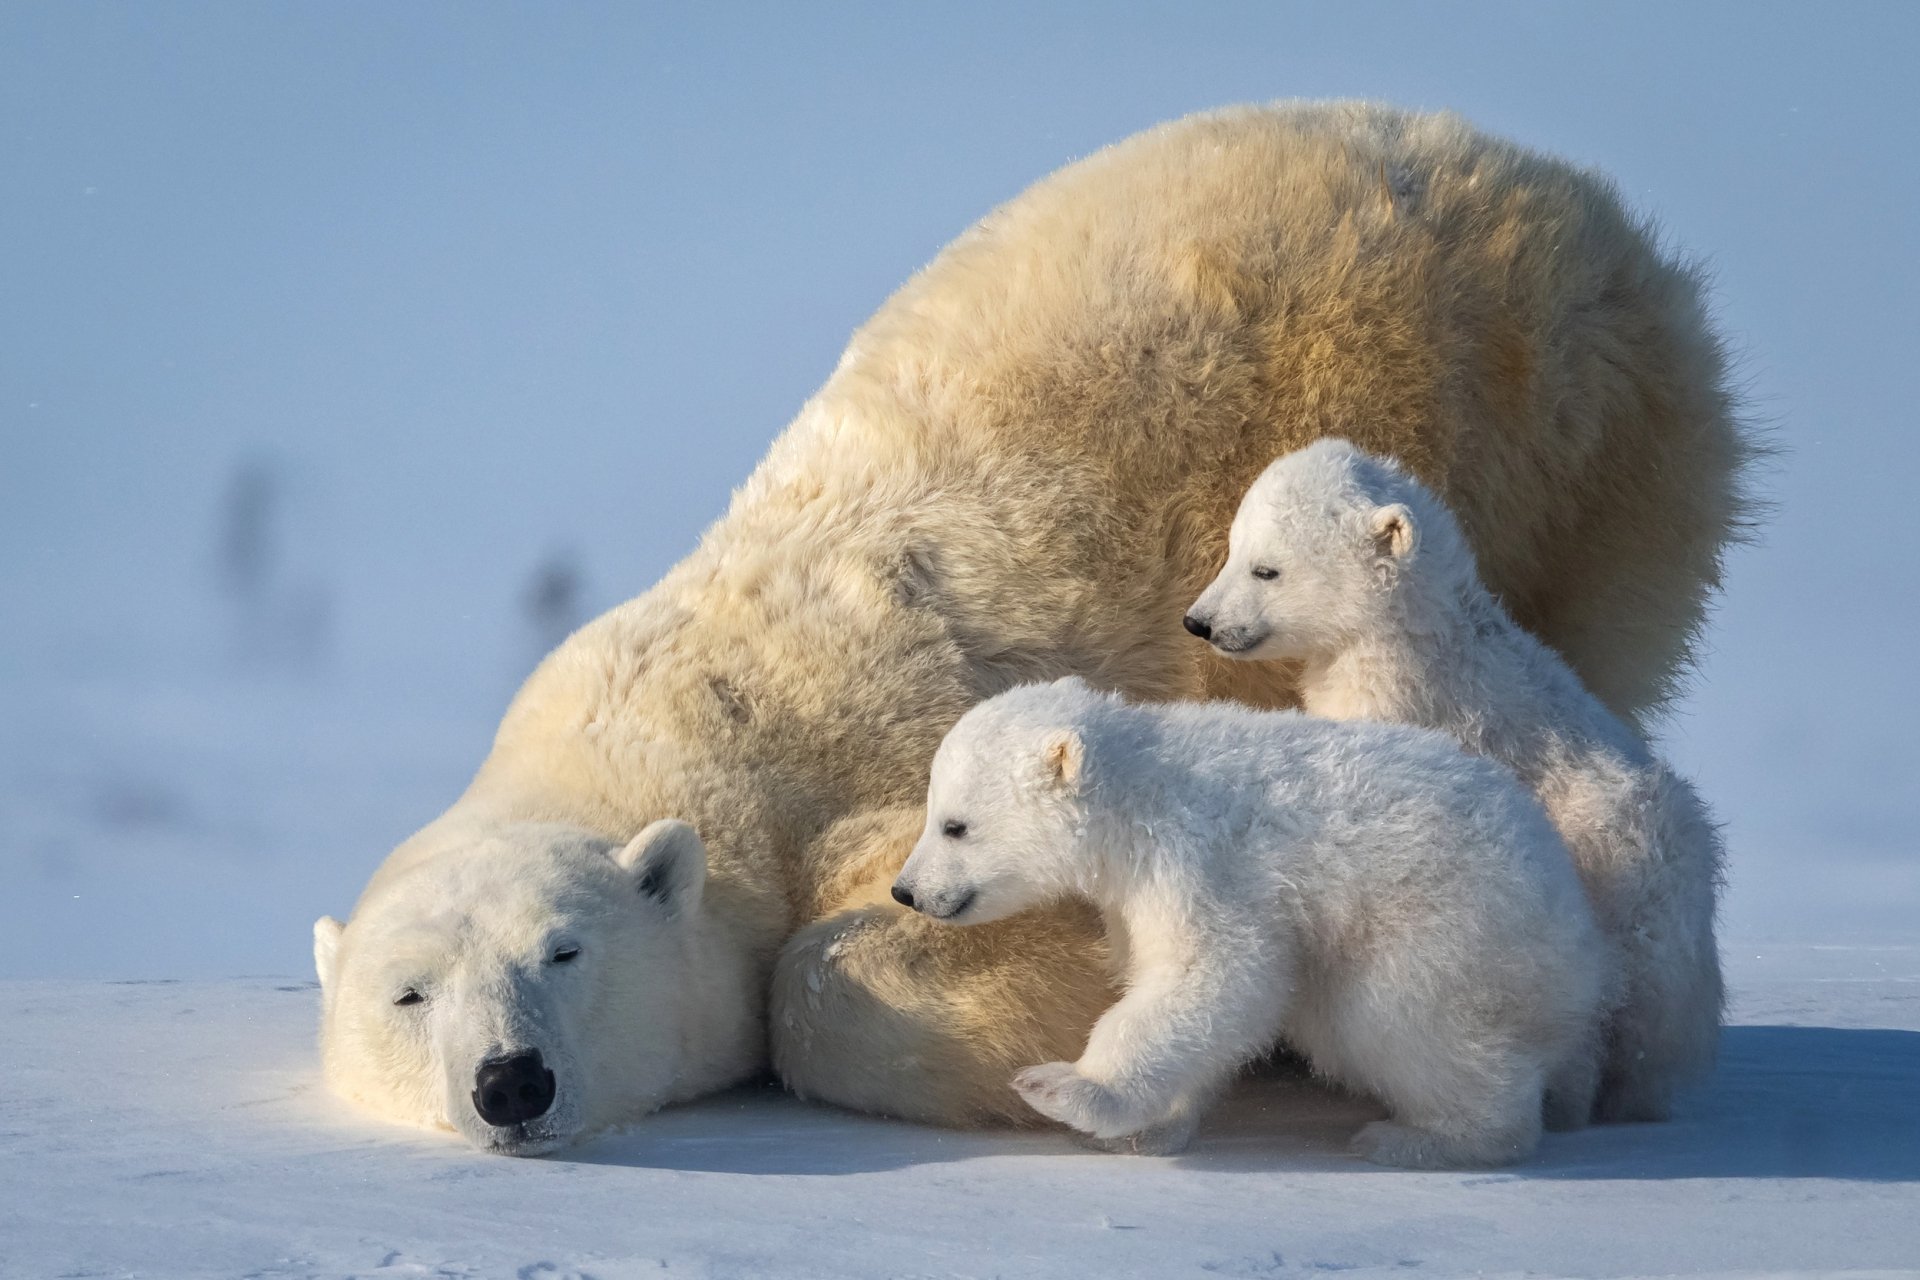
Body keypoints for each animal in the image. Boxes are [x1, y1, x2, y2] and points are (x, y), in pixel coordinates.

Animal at [314, 97, 1758, 1143]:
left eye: (562, 952)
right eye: (406, 991)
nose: (510, 1081)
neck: (705, 706)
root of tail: (1580, 202)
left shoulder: (898, 738)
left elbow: (868, 960)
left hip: (1578, 442)